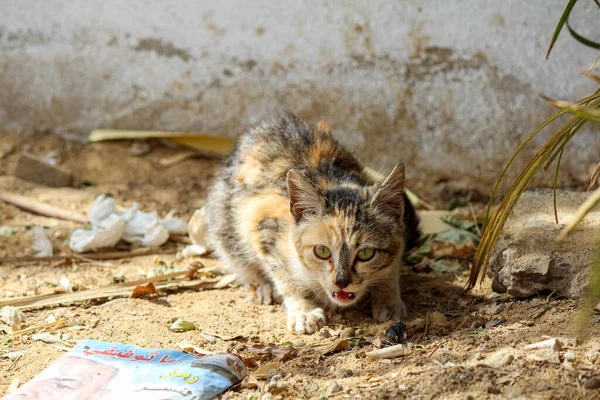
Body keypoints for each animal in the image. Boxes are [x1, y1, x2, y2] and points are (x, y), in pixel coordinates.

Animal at [204, 113, 420, 334]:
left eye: (366, 253)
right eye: (322, 251)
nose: (341, 282)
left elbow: (392, 265)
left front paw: (388, 298)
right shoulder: (262, 224)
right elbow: (285, 276)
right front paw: (304, 311)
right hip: (223, 221)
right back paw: (262, 286)